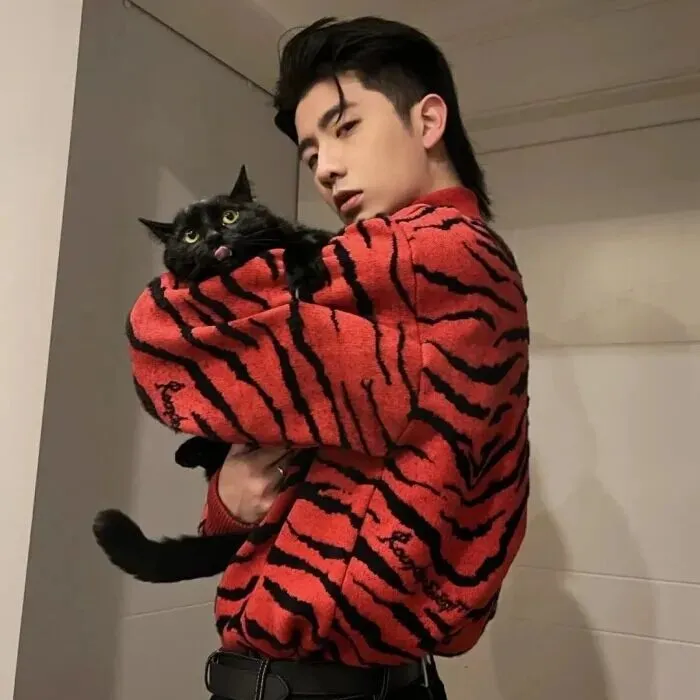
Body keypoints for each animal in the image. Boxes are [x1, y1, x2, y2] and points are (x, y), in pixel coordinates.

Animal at [92, 166, 332, 583]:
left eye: (230, 216)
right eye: (190, 236)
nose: (214, 237)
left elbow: (301, 241)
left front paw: (303, 272)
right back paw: (190, 451)